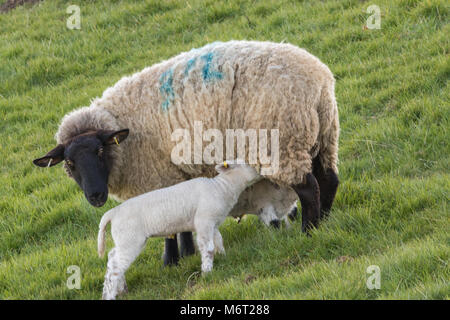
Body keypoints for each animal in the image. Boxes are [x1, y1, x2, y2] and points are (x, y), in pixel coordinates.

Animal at [33, 40, 340, 264]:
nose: (95, 196)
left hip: (282, 143)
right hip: (322, 137)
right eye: (70, 163)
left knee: (309, 188)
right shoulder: (173, 175)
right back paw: (325, 220)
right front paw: (187, 252)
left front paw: (171, 260)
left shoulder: (158, 177)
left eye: (99, 151)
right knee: (329, 179)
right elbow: (179, 217)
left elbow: (166, 223)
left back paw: (309, 230)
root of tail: (319, 81)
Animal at [98, 160, 260, 300]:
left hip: (124, 239)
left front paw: (224, 257)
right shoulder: (203, 221)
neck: (222, 188)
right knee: (115, 266)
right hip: (130, 239)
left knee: (113, 258)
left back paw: (121, 289)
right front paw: (207, 273)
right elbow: (208, 249)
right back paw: (110, 295)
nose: (261, 171)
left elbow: (219, 241)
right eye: (247, 163)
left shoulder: (212, 223)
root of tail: (113, 212)